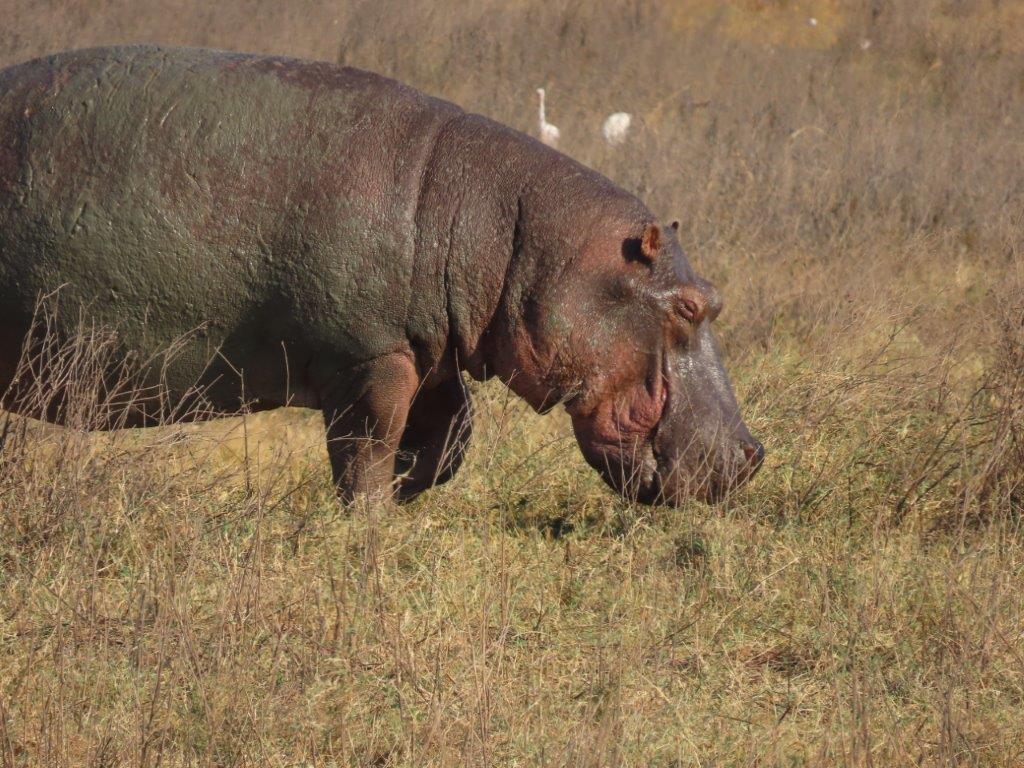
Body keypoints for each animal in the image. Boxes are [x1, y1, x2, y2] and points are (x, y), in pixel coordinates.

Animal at [0, 45, 763, 504]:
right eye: (688, 307)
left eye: (718, 298)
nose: (753, 454)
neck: (502, 232)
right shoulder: (372, 358)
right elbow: (367, 447)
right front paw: (367, 517)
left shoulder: (427, 352)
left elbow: (449, 439)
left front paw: (404, 493)